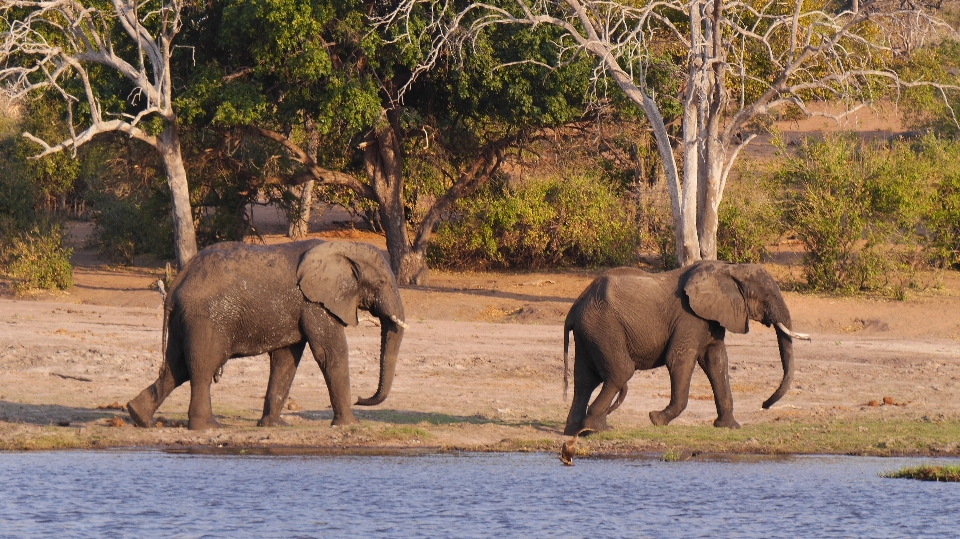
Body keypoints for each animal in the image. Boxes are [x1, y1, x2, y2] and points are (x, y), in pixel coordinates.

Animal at [126, 240, 404, 430]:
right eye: (381, 283)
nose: (360, 398)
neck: (341, 249)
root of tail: (177, 281)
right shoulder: (315, 304)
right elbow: (330, 353)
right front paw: (350, 425)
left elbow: (286, 360)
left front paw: (275, 425)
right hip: (205, 318)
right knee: (202, 369)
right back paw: (208, 427)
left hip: (185, 318)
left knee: (176, 368)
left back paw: (137, 416)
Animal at [564, 260, 808, 434]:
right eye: (765, 296)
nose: (764, 404)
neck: (730, 269)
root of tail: (574, 308)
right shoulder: (690, 317)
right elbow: (679, 359)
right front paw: (656, 419)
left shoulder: (712, 318)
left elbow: (717, 362)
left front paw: (729, 427)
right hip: (603, 326)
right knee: (620, 372)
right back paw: (598, 428)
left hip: (590, 332)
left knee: (585, 379)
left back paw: (574, 430)